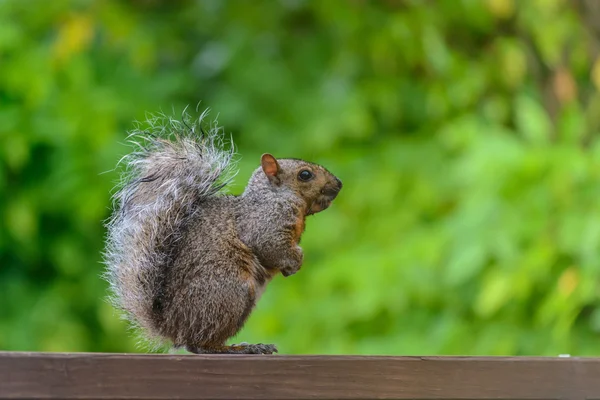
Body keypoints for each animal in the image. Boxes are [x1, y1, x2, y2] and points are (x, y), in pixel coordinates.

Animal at [104, 111, 342, 354]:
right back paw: (240, 348)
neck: (274, 196)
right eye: (305, 174)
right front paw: (296, 261)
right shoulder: (264, 223)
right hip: (231, 293)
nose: (339, 184)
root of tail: (172, 327)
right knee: (199, 344)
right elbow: (270, 245)